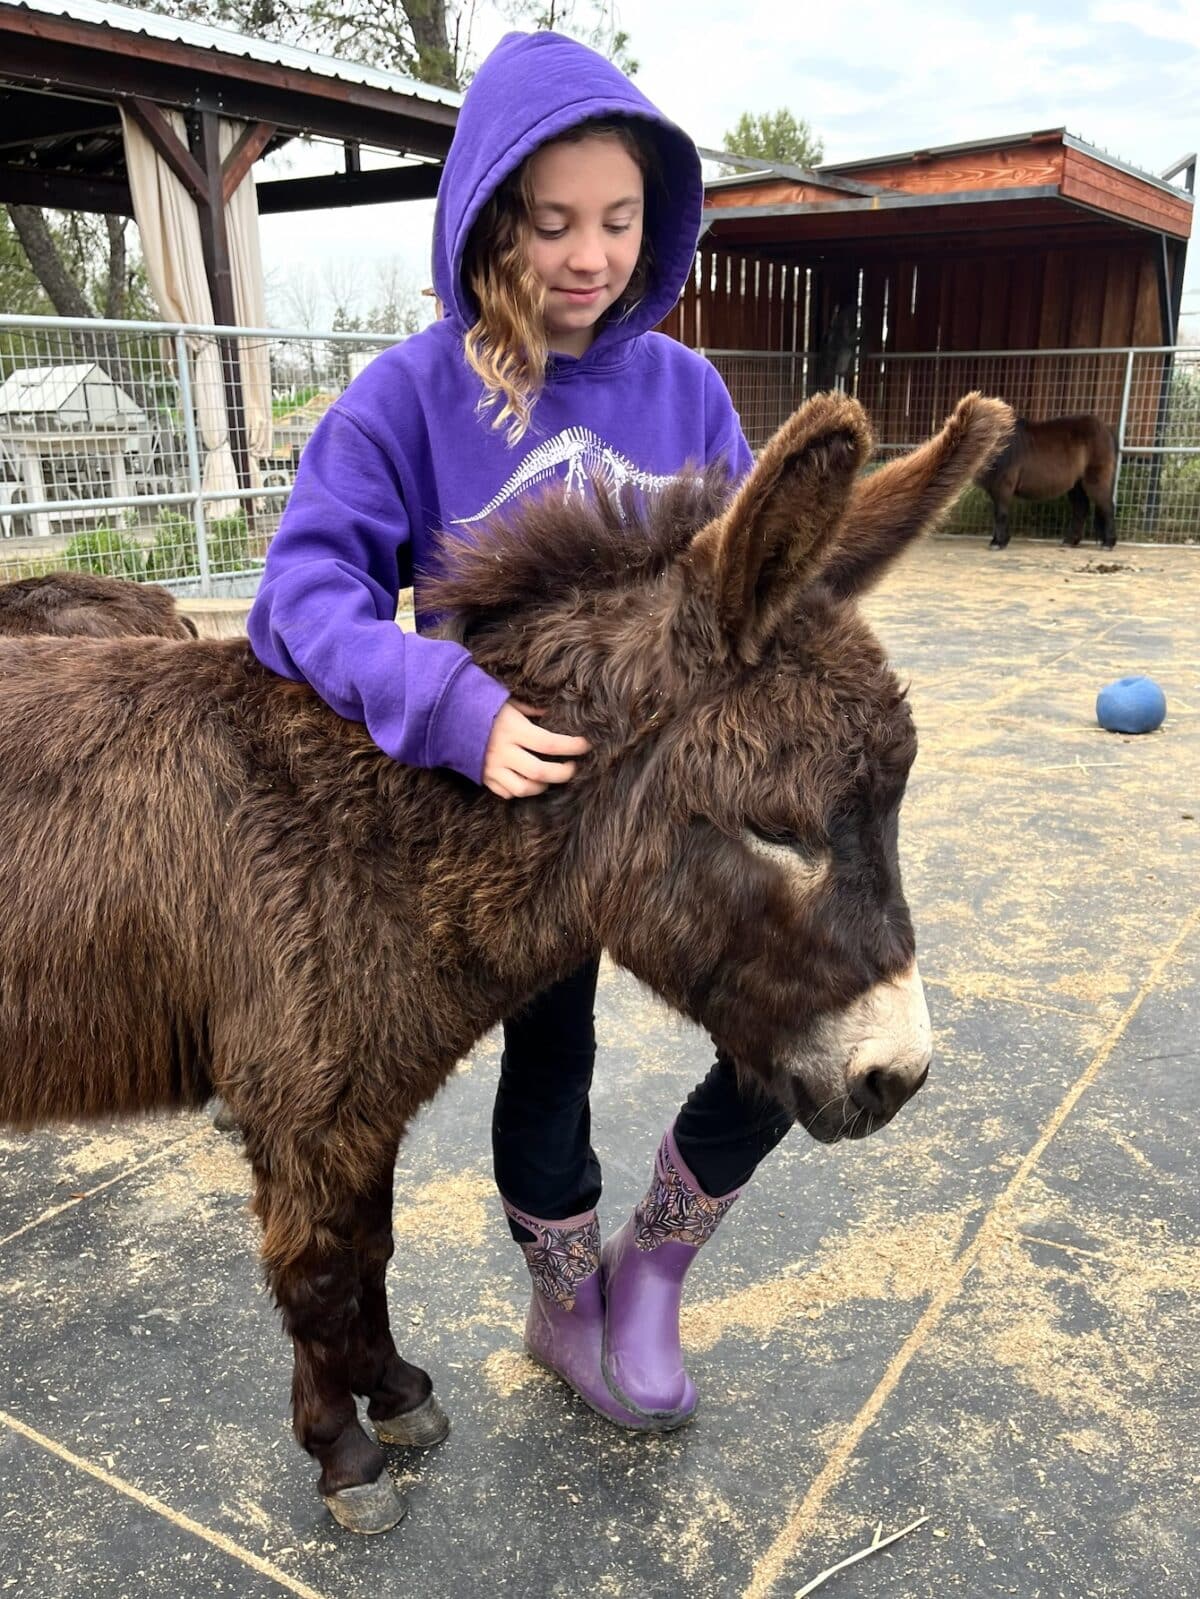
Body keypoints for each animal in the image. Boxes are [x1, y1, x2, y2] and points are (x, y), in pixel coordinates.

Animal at [0, 390, 1011, 1532]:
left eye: (895, 805)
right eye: (777, 827)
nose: (899, 1076)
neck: (377, 834)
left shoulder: (362, 1107)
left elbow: (371, 1251)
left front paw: (395, 1392)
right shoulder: (303, 1109)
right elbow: (316, 1273)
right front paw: (343, 1454)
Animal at [973, 412, 1117, 549]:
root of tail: (1105, 428)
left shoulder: (1002, 485)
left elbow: (1000, 513)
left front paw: (998, 543)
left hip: (1095, 479)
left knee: (1107, 507)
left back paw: (1108, 543)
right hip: (1076, 484)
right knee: (1081, 508)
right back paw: (1070, 541)